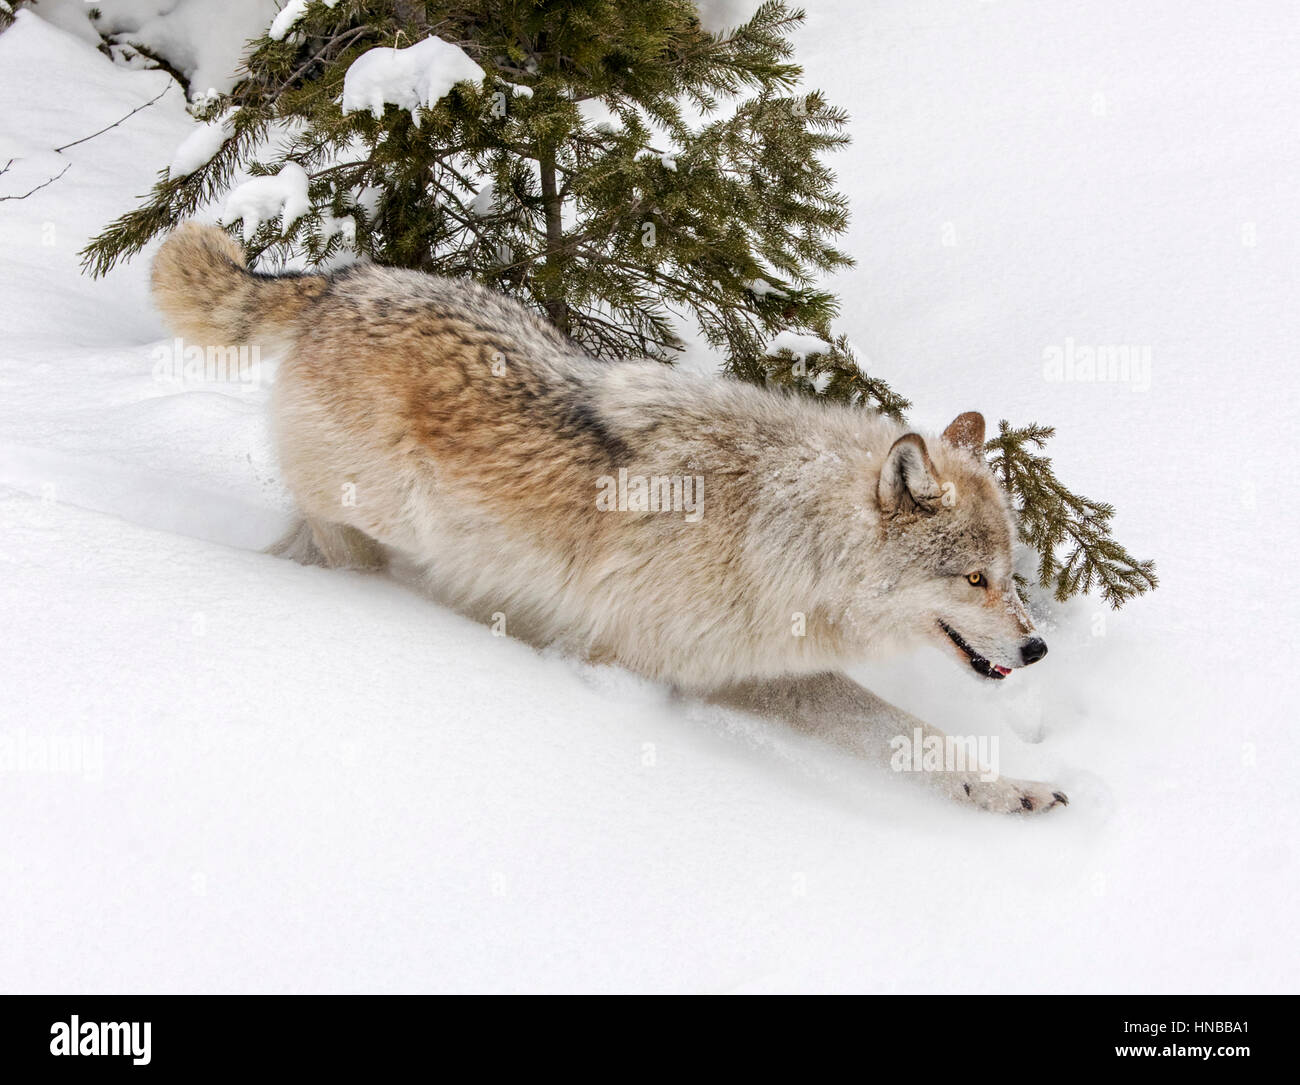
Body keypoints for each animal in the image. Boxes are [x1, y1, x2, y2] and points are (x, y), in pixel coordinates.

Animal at [152, 222, 1065, 814]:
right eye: (974, 578)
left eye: (1010, 576)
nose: (1036, 648)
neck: (778, 526)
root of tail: (344, 279)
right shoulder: (660, 665)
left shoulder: (748, 669)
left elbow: (915, 736)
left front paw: (1009, 786)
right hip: (366, 516)